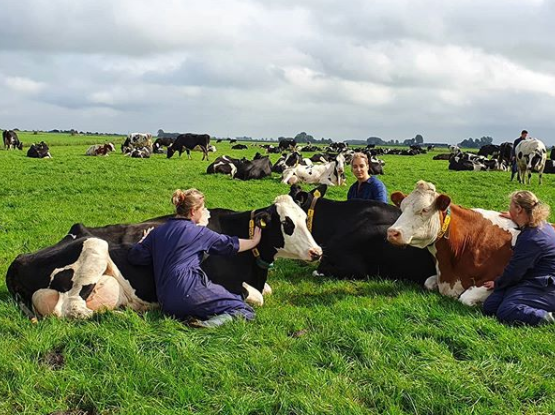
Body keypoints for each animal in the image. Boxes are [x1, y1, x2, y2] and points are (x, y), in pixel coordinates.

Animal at [6, 197, 322, 320]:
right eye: (286, 223)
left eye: (304, 218)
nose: (317, 252)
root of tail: (19, 258)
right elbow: (256, 297)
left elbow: (266, 291)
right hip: (94, 247)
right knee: (72, 308)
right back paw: (121, 313)